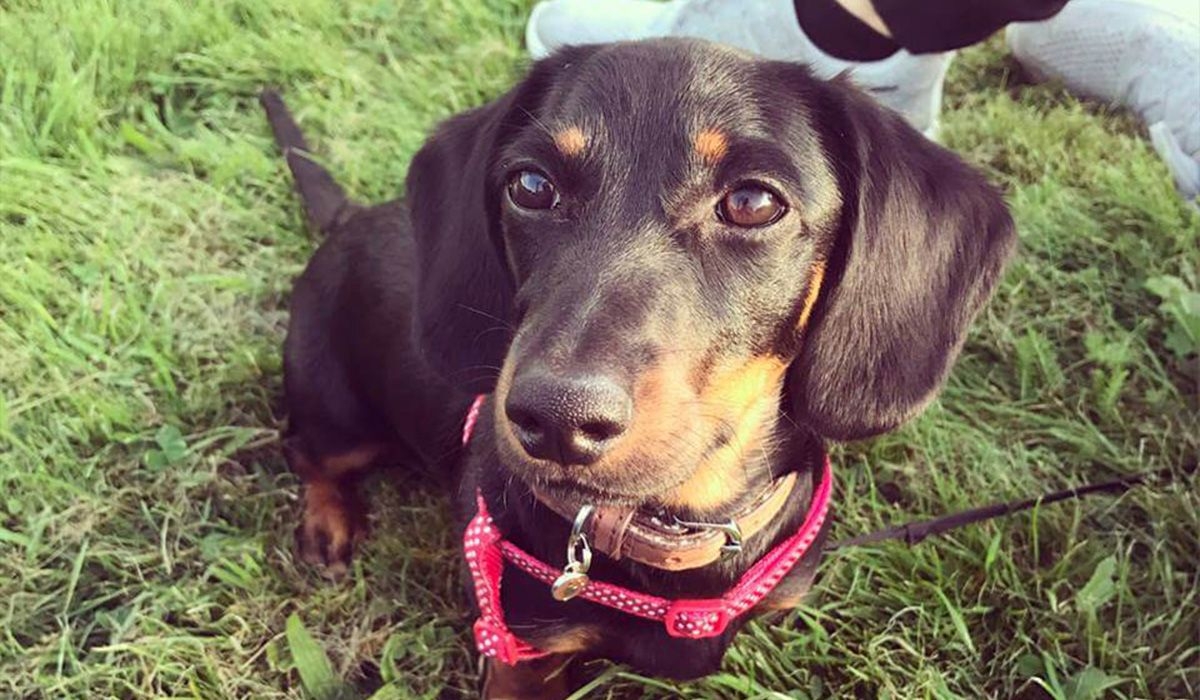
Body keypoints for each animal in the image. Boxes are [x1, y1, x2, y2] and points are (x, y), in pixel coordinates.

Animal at [260, 39, 1012, 700]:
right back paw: (328, 523)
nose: (554, 420)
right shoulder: (520, 656)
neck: (676, 529)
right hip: (337, 412)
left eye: (753, 202)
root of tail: (349, 218)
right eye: (530, 184)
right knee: (304, 450)